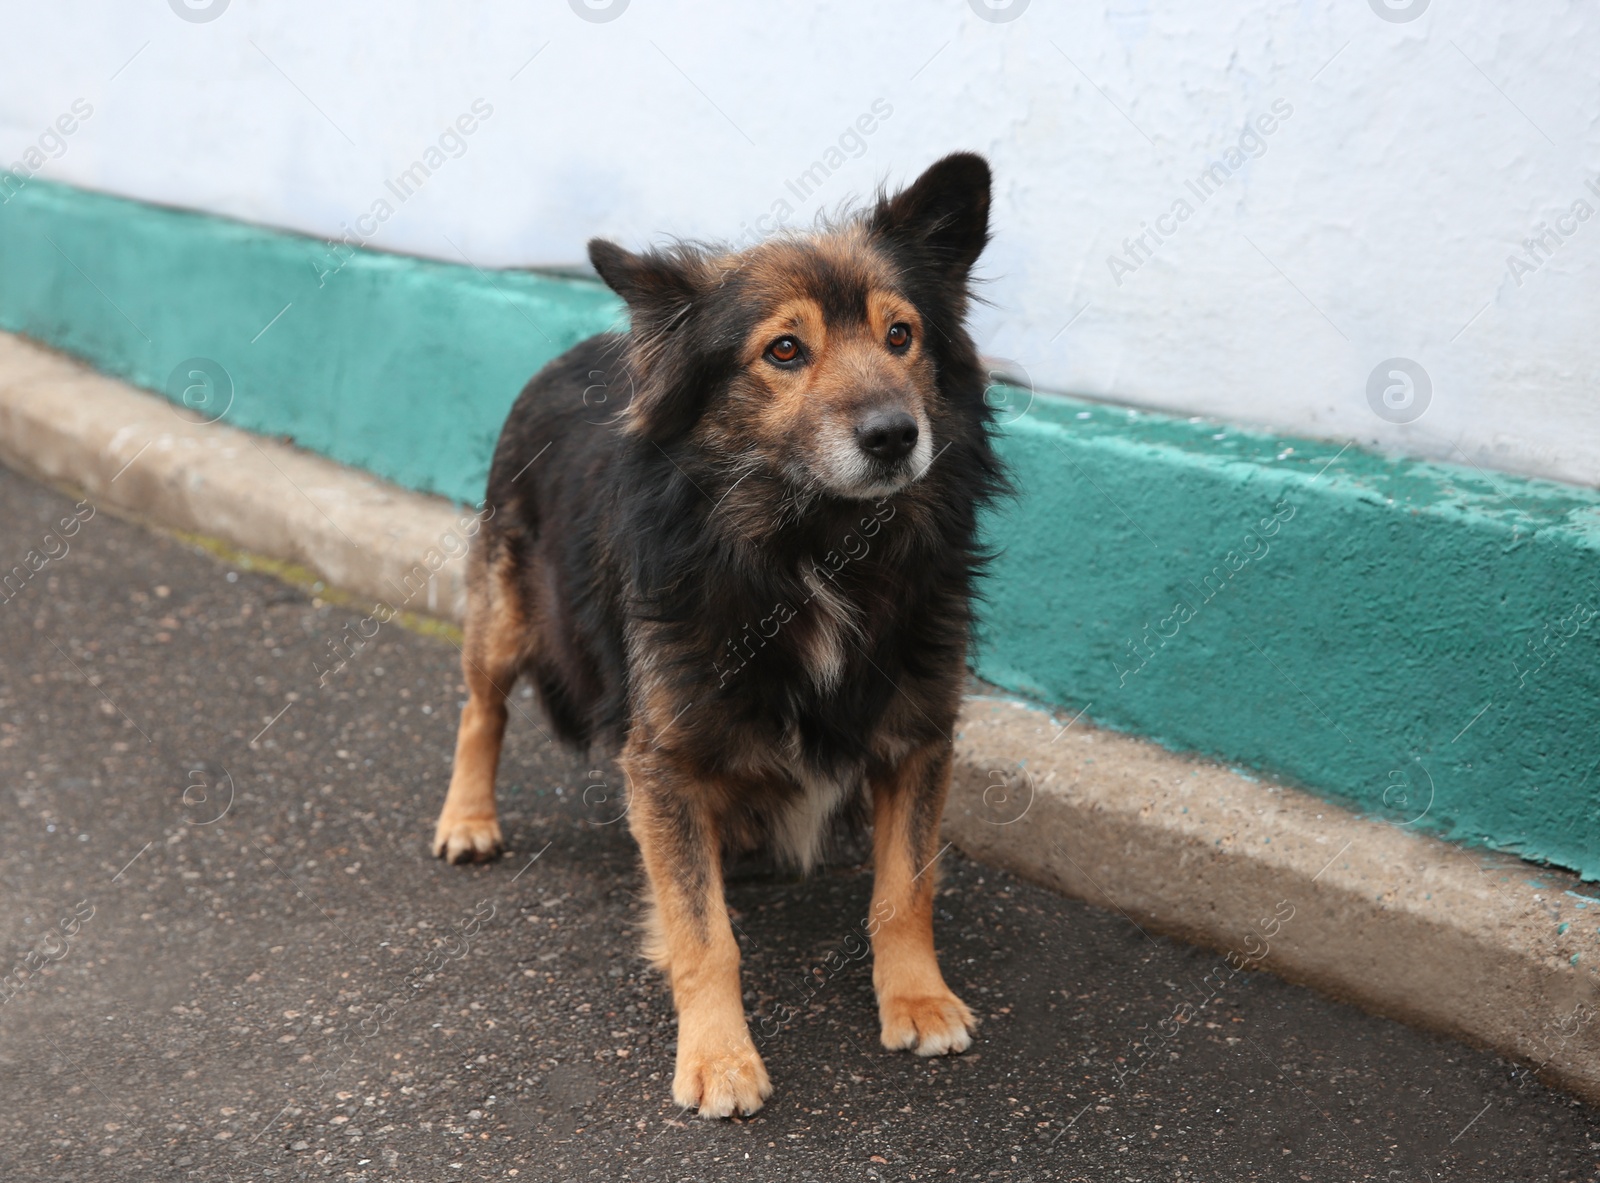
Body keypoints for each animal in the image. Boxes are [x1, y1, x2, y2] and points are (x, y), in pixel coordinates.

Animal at [432, 152, 1004, 1114]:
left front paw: (918, 998)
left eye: (902, 335)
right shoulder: (663, 759)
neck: (815, 548)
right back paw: (467, 818)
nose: (896, 435)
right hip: (507, 608)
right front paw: (719, 1055)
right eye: (784, 350)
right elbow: (704, 933)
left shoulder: (918, 731)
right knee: (483, 708)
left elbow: (906, 888)